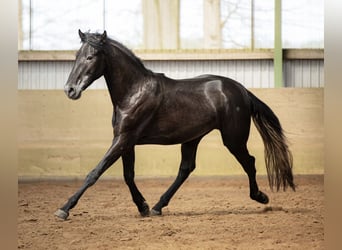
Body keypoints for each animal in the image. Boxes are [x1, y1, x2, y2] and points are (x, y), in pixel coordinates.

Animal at [54, 30, 296, 220]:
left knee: (249, 162)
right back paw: (157, 206)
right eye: (77, 56)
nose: (70, 90)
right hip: (192, 138)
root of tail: (242, 90)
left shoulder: (123, 139)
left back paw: (260, 197)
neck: (134, 92)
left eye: (91, 57)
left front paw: (64, 209)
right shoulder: (125, 141)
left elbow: (95, 172)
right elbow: (128, 176)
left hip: (233, 139)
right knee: (186, 169)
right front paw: (142, 206)